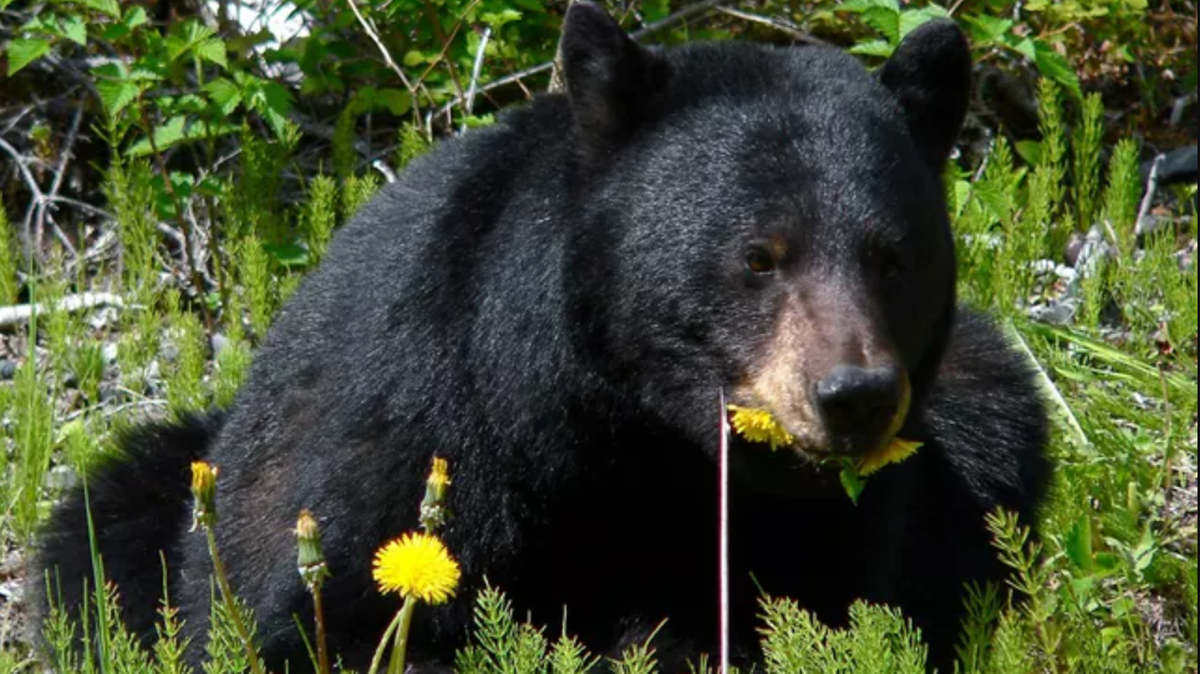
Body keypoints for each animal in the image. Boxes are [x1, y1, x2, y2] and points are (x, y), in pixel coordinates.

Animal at [30, 3, 1052, 673]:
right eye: (759, 256)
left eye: (892, 257)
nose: (854, 396)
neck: (621, 429)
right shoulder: (414, 420)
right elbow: (322, 616)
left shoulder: (828, 521)